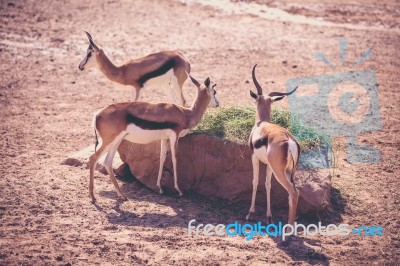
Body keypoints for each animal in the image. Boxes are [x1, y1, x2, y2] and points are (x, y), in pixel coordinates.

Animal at [88, 74, 219, 203]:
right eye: (214, 91)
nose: (217, 104)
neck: (185, 114)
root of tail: (97, 114)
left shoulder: (164, 139)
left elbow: (162, 158)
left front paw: (159, 188)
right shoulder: (174, 136)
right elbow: (174, 159)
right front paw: (179, 190)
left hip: (116, 141)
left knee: (107, 162)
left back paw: (122, 196)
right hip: (108, 141)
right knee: (93, 158)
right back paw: (93, 197)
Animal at [247, 64, 300, 227]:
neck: (261, 124)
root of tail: (289, 141)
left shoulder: (254, 157)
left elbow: (255, 181)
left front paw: (250, 213)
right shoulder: (269, 164)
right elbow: (267, 184)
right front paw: (269, 216)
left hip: (280, 172)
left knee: (294, 192)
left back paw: (289, 229)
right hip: (289, 171)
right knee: (294, 192)